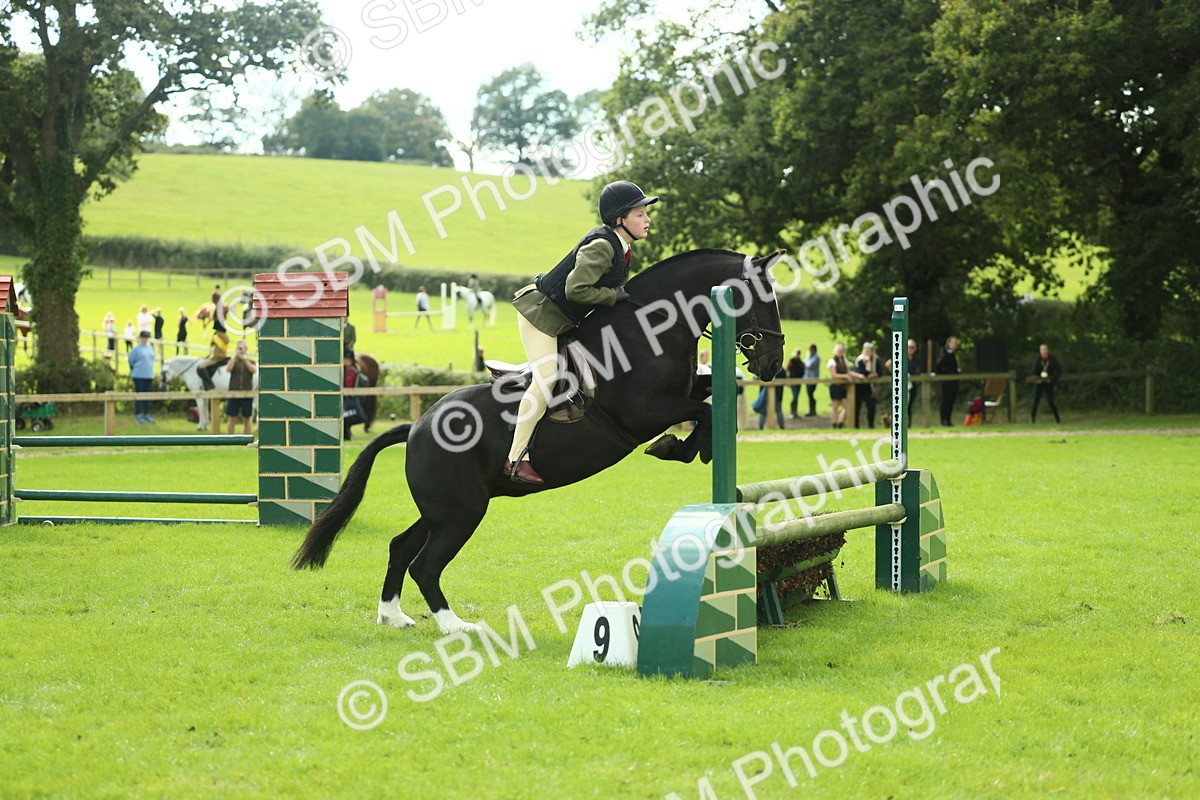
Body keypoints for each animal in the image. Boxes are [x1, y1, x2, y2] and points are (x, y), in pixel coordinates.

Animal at [291, 248, 787, 634]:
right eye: (760, 299)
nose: (772, 365)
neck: (649, 330)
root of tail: (415, 427)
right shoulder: (644, 411)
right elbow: (702, 412)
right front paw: (679, 447)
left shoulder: (680, 394)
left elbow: (715, 395)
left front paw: (693, 446)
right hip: (461, 512)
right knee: (425, 564)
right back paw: (457, 627)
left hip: (444, 508)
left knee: (401, 546)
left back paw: (393, 617)